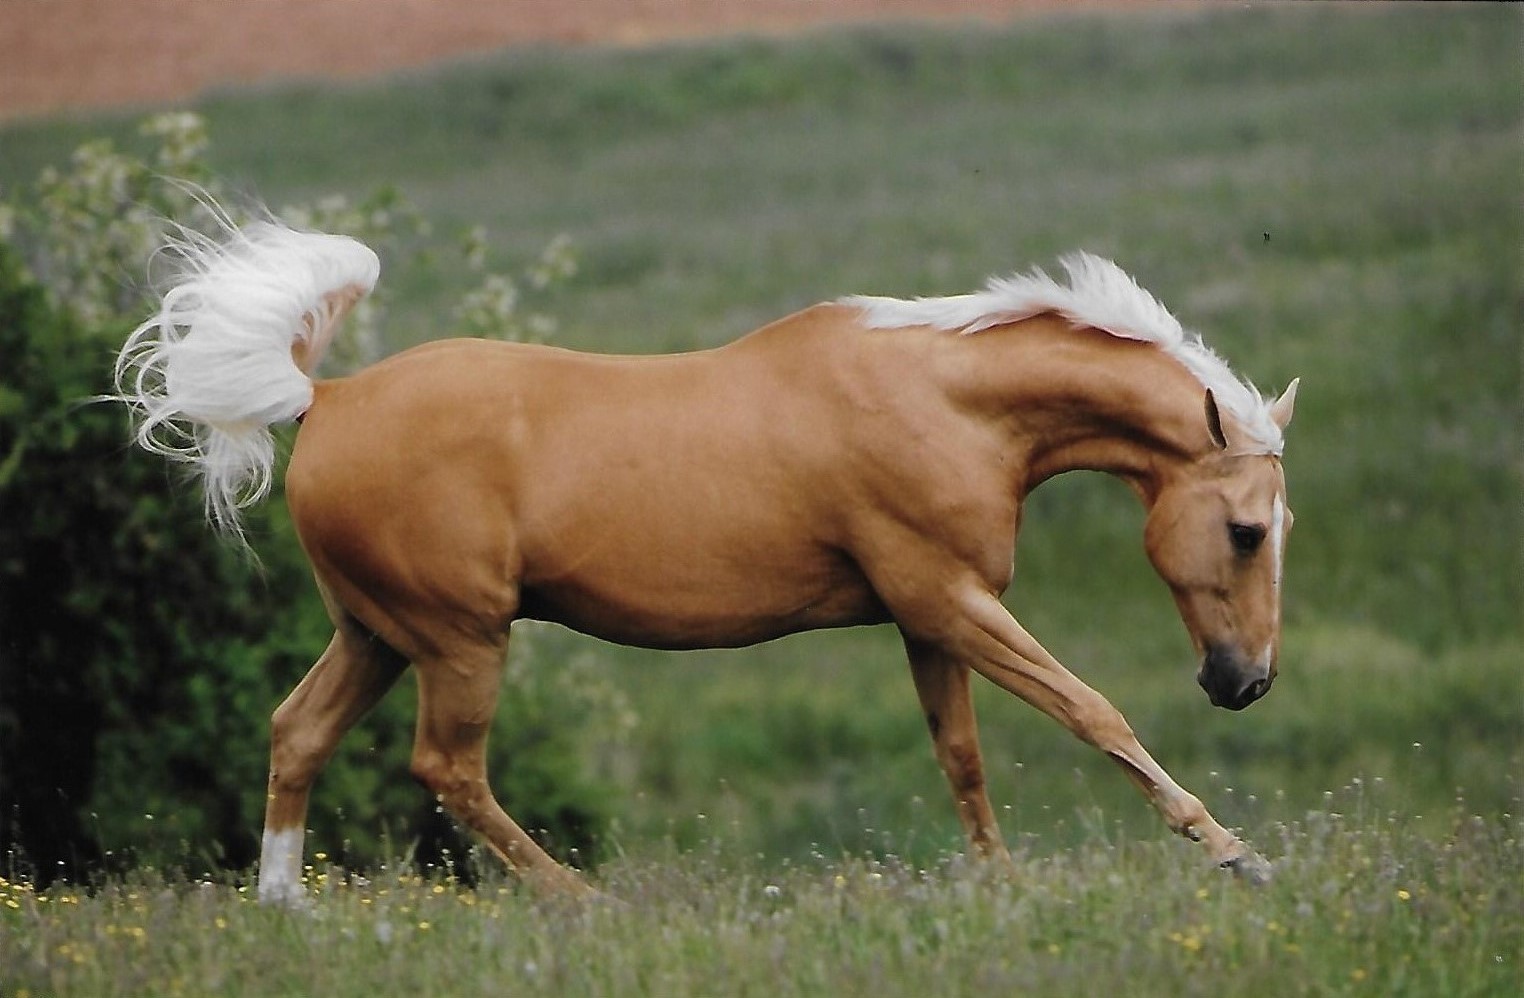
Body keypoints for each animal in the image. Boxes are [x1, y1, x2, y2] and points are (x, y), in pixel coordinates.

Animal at [112, 220, 1298, 908]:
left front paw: (999, 885)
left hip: (374, 634)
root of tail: (328, 398)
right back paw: (581, 905)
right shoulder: (947, 600)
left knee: (297, 731)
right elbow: (1094, 711)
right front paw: (1237, 854)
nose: (1245, 682)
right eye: (1247, 529)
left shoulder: (927, 617)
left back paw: (286, 906)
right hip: (459, 639)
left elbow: (961, 757)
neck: (945, 402)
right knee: (447, 768)